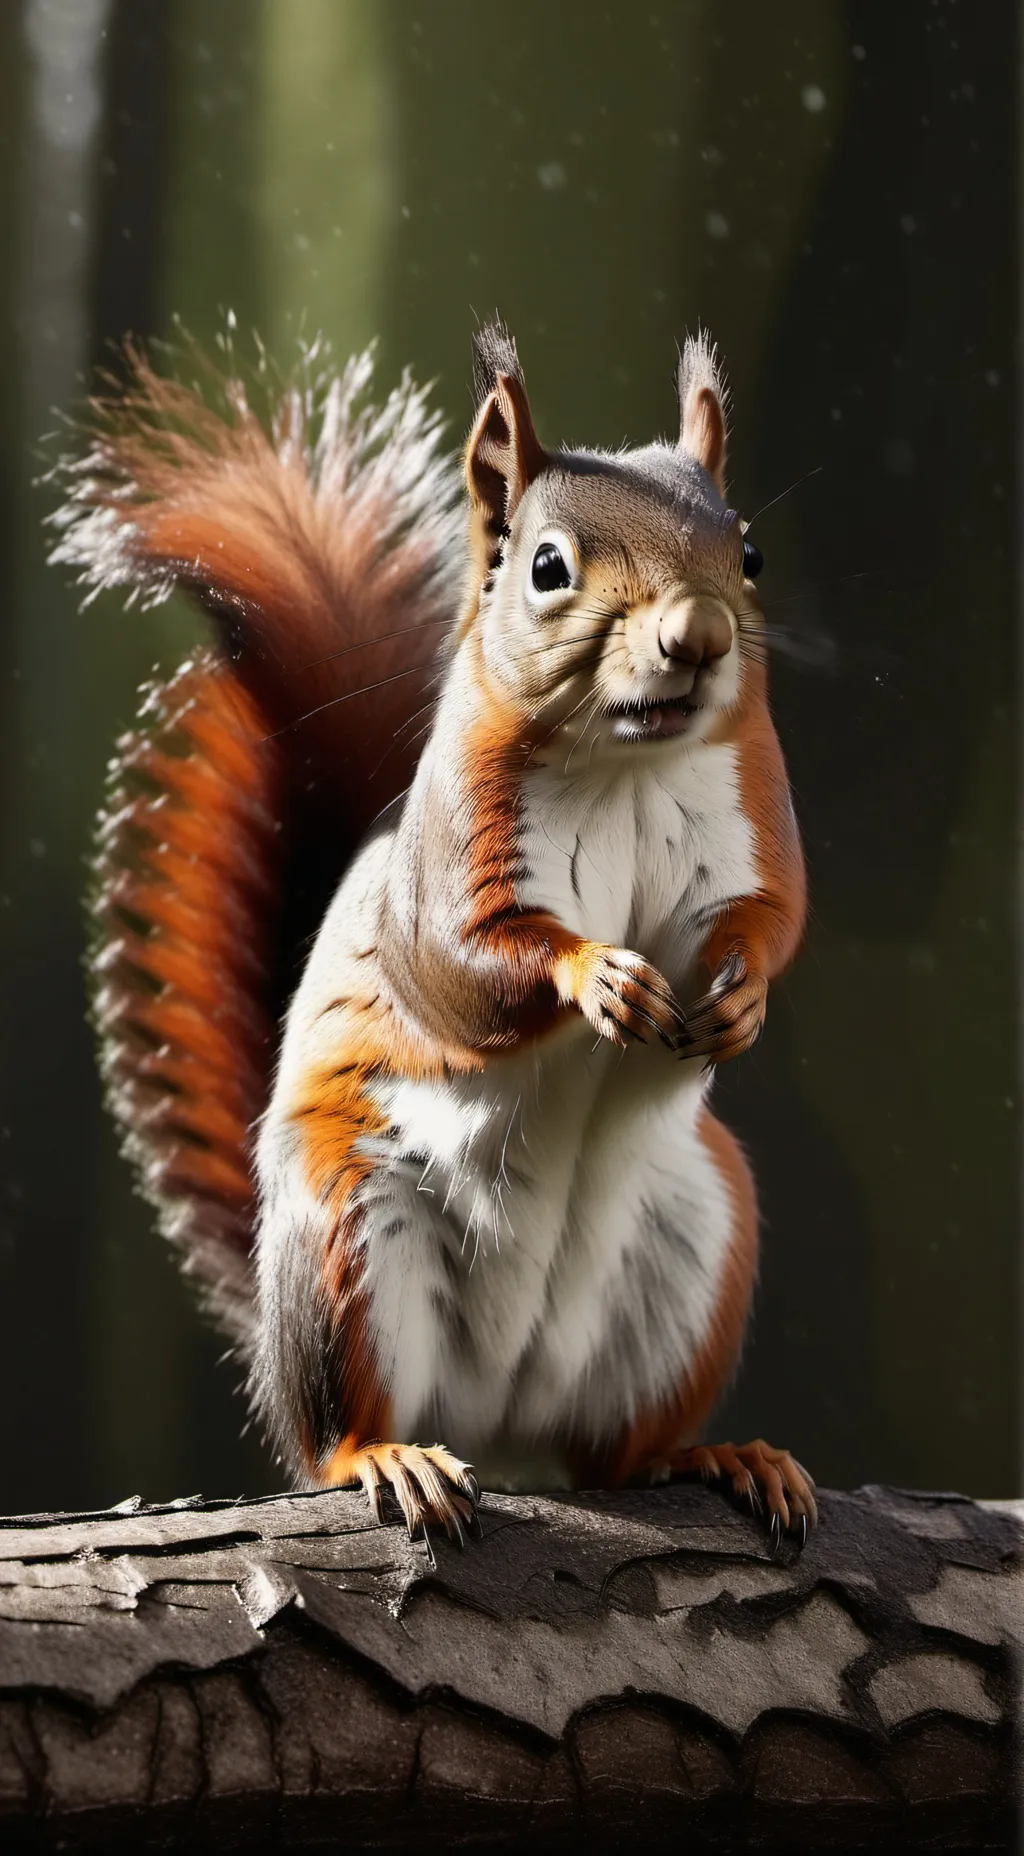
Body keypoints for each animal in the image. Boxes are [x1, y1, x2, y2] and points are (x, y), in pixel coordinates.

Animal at [51, 320, 815, 1553]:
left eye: (747, 554)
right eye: (547, 567)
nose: (698, 638)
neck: (629, 764)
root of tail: (497, 1419)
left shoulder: (755, 820)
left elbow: (771, 919)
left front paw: (738, 998)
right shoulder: (452, 858)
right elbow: (460, 966)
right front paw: (598, 975)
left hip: (699, 1238)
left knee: (618, 1455)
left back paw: (712, 1455)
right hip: (346, 1233)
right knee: (333, 1435)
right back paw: (387, 1454)